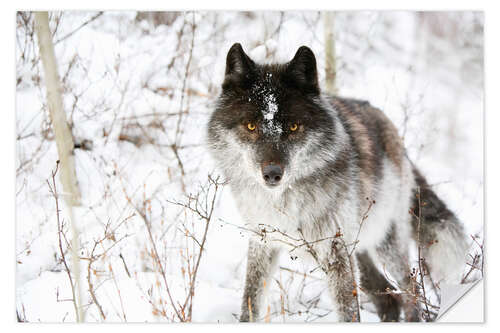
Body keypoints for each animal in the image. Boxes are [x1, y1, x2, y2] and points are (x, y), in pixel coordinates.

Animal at [206, 42, 468, 320]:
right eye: (250, 126)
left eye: (294, 127)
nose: (273, 174)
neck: (286, 201)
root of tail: (390, 128)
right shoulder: (262, 243)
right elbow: (250, 304)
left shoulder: (336, 252)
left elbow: (349, 312)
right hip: (359, 248)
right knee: (388, 297)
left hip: (387, 243)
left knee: (411, 291)